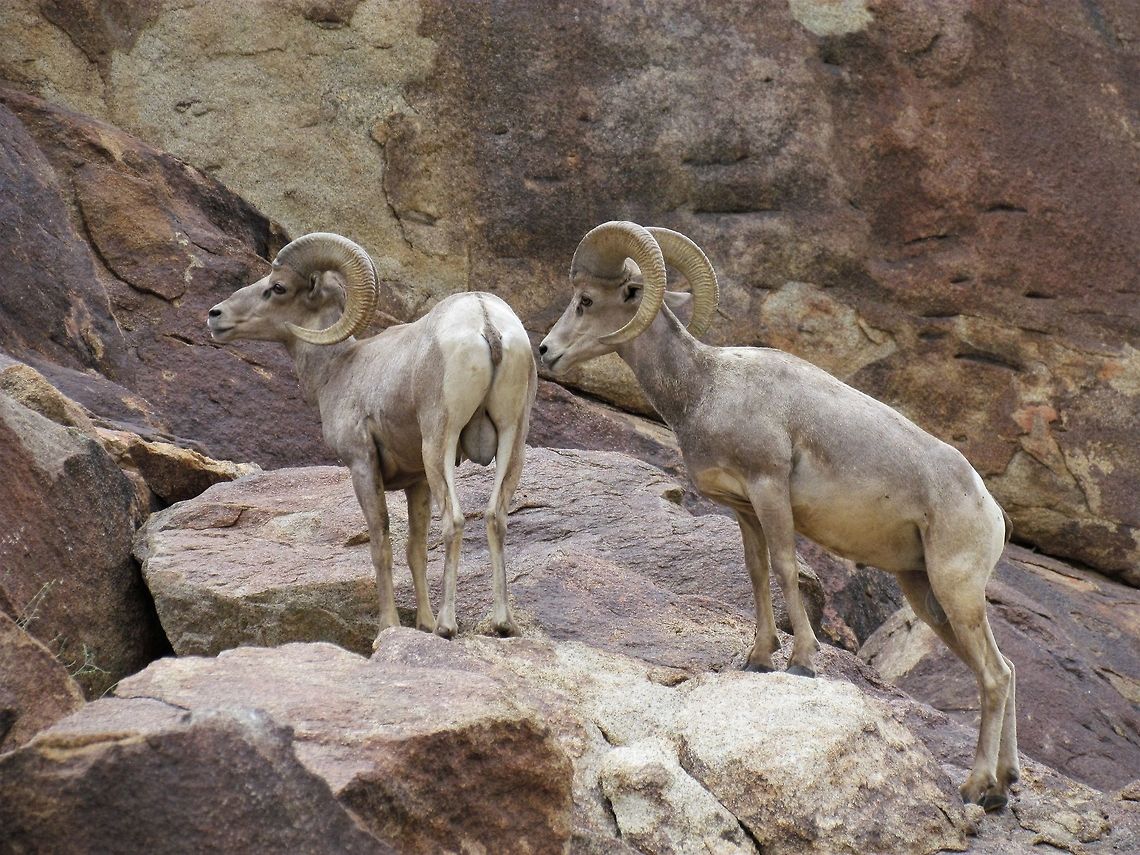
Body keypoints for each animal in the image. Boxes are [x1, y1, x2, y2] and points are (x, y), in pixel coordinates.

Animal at [207, 232, 537, 643]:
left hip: (440, 443)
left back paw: (446, 626)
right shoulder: (417, 482)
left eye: (278, 287)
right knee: (495, 516)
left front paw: (391, 625)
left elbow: (381, 543)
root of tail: (486, 321)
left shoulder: (363, 465)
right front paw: (422, 623)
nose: (215, 315)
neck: (339, 370)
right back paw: (502, 624)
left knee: (455, 520)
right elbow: (415, 549)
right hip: (512, 438)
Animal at [538, 221, 1018, 811]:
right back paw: (1005, 784)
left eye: (586, 300)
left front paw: (802, 662)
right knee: (1003, 670)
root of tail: (990, 509)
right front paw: (759, 658)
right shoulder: (745, 509)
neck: (706, 387)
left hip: (955, 587)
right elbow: (758, 574)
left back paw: (977, 790)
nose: (545, 351)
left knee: (994, 676)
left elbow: (788, 569)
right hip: (925, 592)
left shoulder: (770, 490)